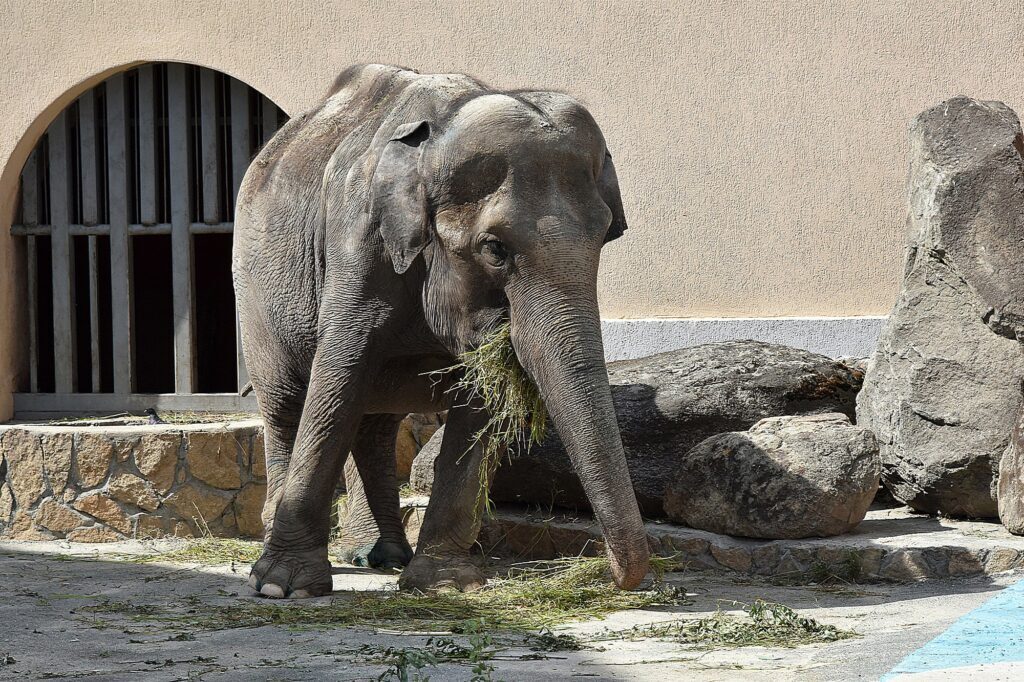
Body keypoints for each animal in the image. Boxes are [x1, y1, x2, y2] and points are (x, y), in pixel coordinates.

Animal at [232, 63, 647, 593]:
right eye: (494, 248)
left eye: (606, 236)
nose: (611, 571)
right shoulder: (358, 247)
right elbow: (335, 380)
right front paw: (283, 586)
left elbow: (478, 401)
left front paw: (445, 583)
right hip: (254, 295)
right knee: (287, 405)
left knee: (373, 421)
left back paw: (381, 555)